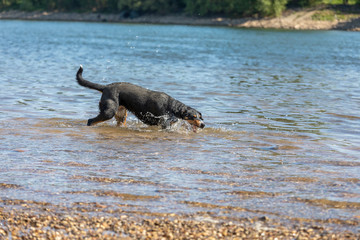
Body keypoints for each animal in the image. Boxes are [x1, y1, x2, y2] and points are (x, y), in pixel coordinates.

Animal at [75, 64, 205, 130]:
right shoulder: (164, 124)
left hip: (121, 114)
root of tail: (106, 87)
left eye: (199, 116)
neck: (173, 107)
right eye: (193, 116)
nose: (203, 124)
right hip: (109, 111)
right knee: (90, 121)